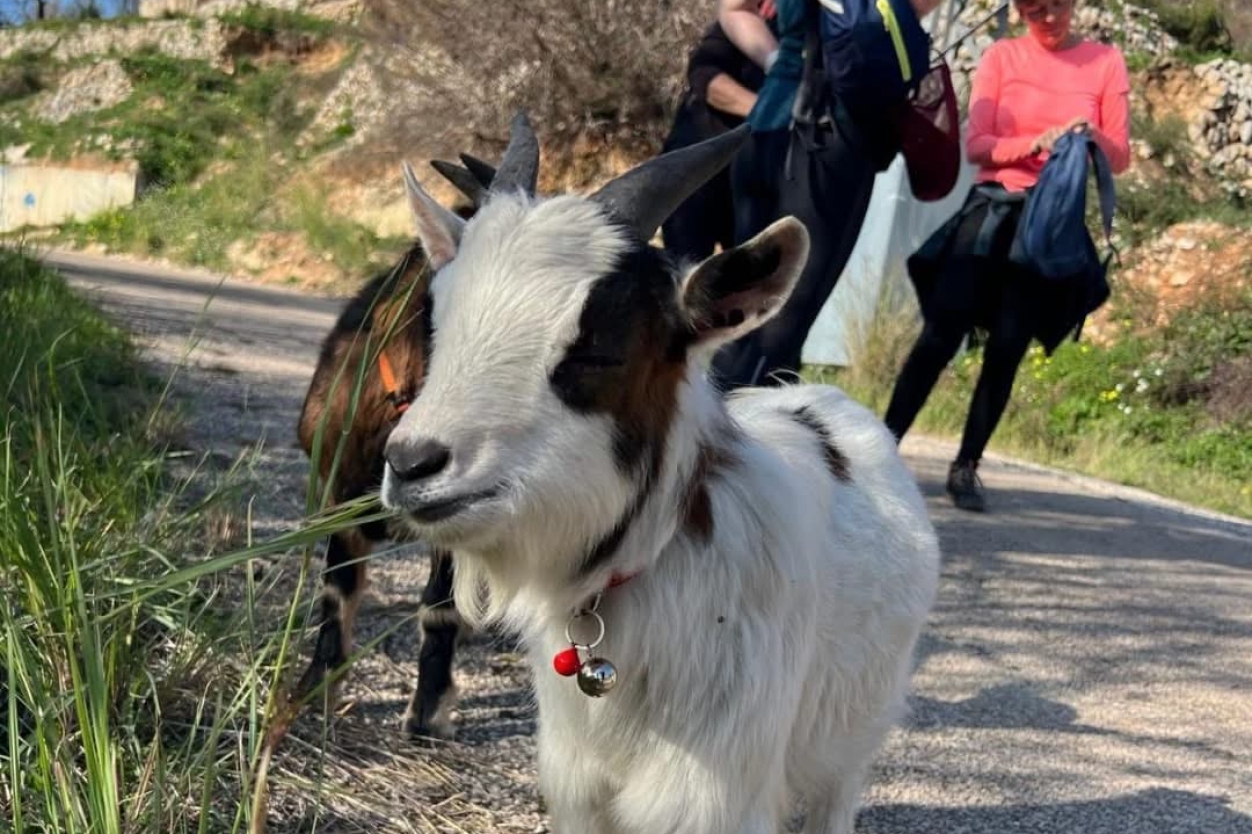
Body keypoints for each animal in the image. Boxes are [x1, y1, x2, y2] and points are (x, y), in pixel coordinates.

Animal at [380, 113, 941, 834]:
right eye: (438, 322)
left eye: (599, 347)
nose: (411, 463)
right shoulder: (581, 792)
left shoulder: (714, 798)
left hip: (851, 740)